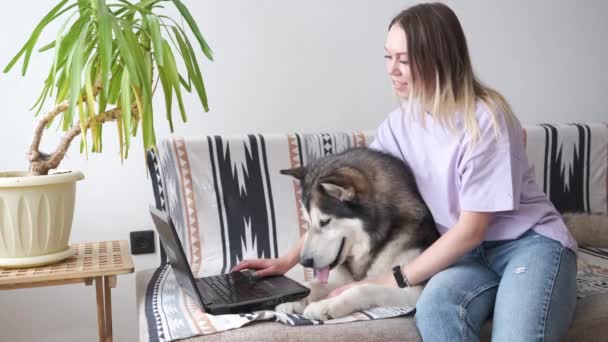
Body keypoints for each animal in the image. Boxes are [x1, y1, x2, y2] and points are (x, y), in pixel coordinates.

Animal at [276, 148, 436, 320]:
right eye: (307, 222)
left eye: (325, 221)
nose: (304, 262)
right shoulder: (341, 279)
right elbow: (312, 285)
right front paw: (295, 299)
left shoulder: (413, 291)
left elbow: (363, 288)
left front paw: (326, 305)